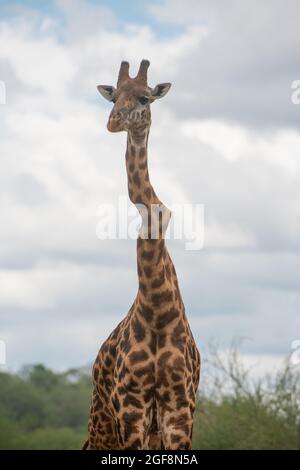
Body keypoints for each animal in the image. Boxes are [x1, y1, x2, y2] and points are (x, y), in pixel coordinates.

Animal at [84, 60, 202, 450]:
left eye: (144, 97)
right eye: (114, 96)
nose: (113, 121)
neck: (158, 310)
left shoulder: (180, 410)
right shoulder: (131, 410)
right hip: (102, 422)